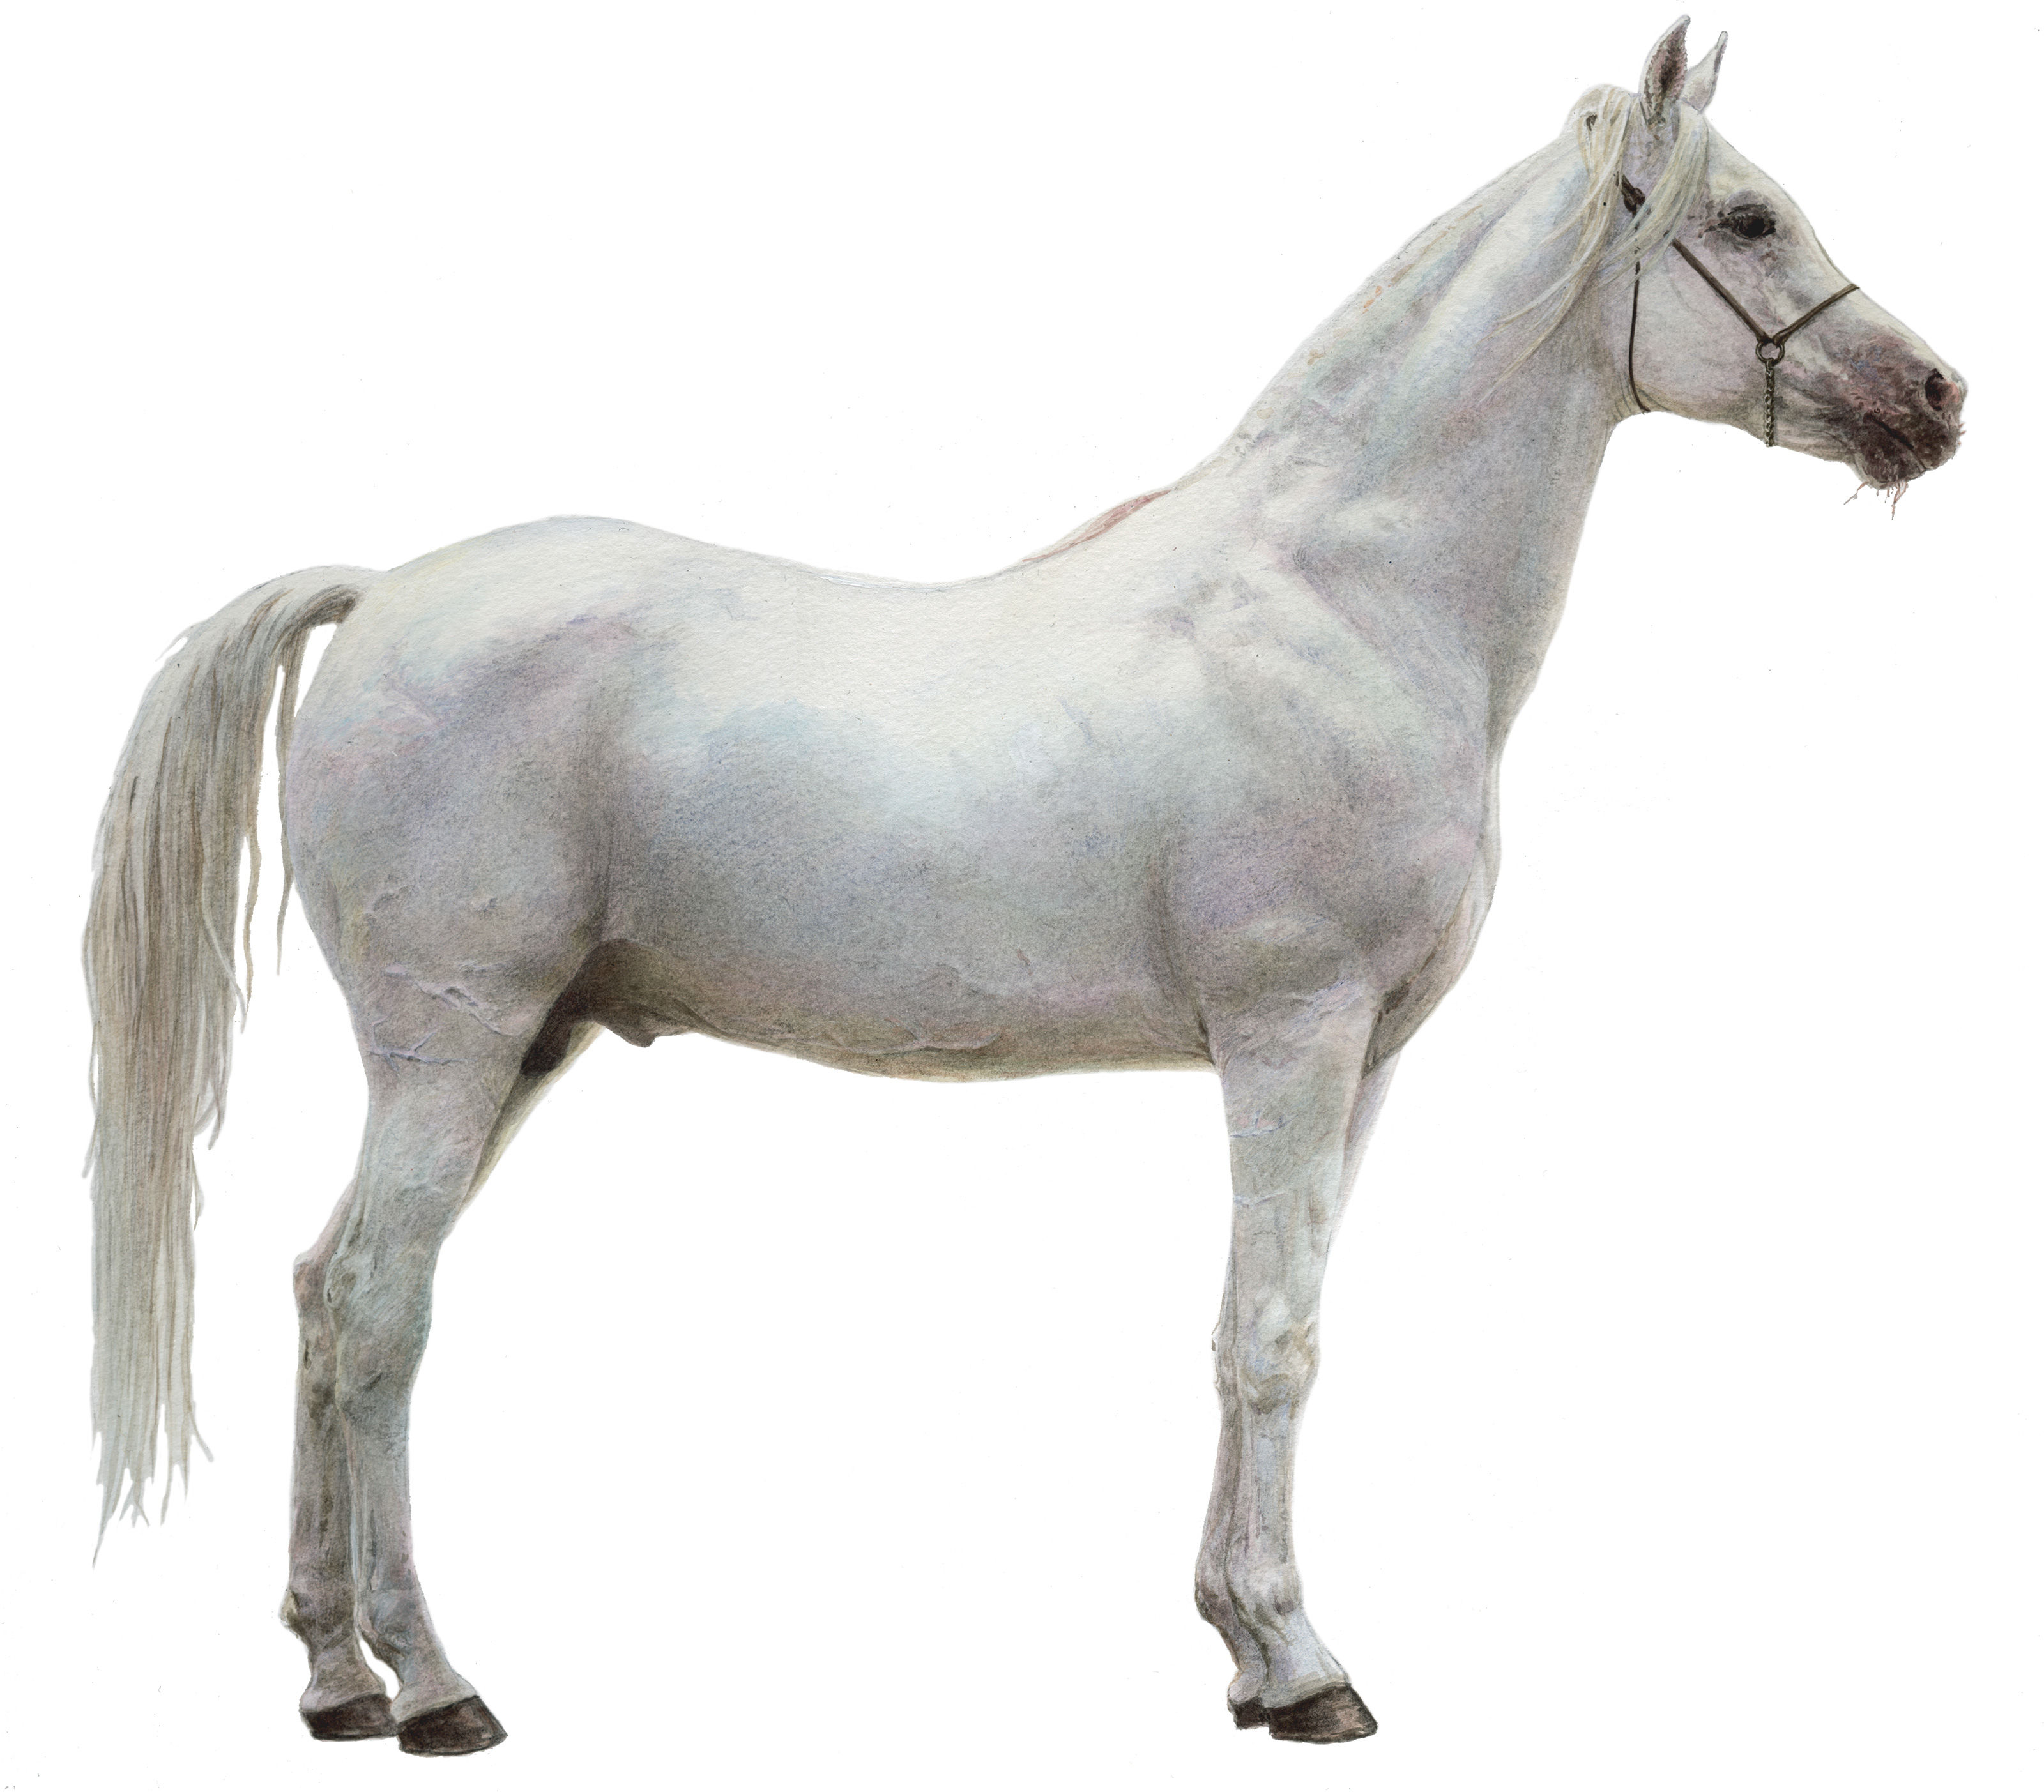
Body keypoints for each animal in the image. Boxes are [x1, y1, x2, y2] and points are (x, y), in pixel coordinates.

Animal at [84, 18, 1965, 1756]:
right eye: (1748, 214)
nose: (1938, 399)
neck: (1339, 601)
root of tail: (382, 592)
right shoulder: (1292, 1031)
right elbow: (1270, 1334)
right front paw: (1303, 1662)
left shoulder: (1362, 1060)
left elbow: (1266, 1320)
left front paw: (1241, 1645)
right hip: (454, 1041)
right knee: (379, 1314)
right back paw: (437, 1681)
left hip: (513, 1046)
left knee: (320, 1288)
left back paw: (334, 1672)